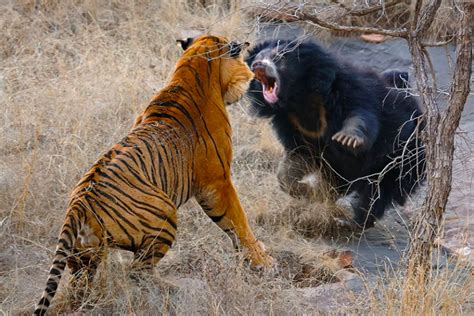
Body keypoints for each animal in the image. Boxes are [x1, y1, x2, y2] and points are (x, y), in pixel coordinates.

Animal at [33, 35, 274, 316]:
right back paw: (176, 288)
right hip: (165, 214)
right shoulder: (218, 182)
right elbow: (238, 221)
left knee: (81, 287)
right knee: (138, 271)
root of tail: (78, 204)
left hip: (84, 256)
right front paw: (262, 260)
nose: (252, 73)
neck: (190, 70)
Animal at [246, 38, 424, 228]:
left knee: (378, 192)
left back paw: (352, 222)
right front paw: (307, 191)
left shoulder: (347, 88)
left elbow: (361, 114)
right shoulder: (291, 123)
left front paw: (347, 139)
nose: (257, 65)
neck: (298, 98)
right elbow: (296, 159)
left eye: (278, 57)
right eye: (257, 58)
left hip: (403, 157)